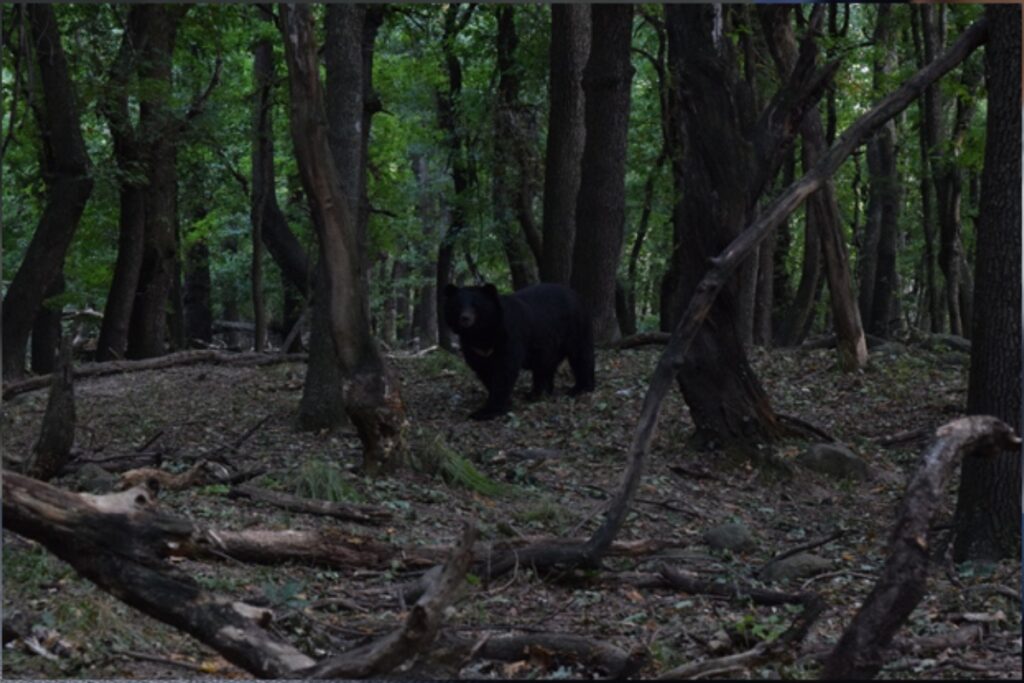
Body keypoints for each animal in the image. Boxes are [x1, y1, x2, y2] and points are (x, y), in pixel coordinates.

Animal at [443, 282, 595, 420]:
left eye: (476, 305)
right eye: (458, 305)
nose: (465, 318)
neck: (482, 334)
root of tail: (576, 294)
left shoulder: (509, 336)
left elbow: (504, 370)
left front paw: (487, 411)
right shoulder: (473, 348)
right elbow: (483, 370)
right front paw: (504, 402)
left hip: (575, 327)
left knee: (581, 355)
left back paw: (581, 388)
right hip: (549, 342)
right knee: (545, 366)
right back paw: (538, 392)